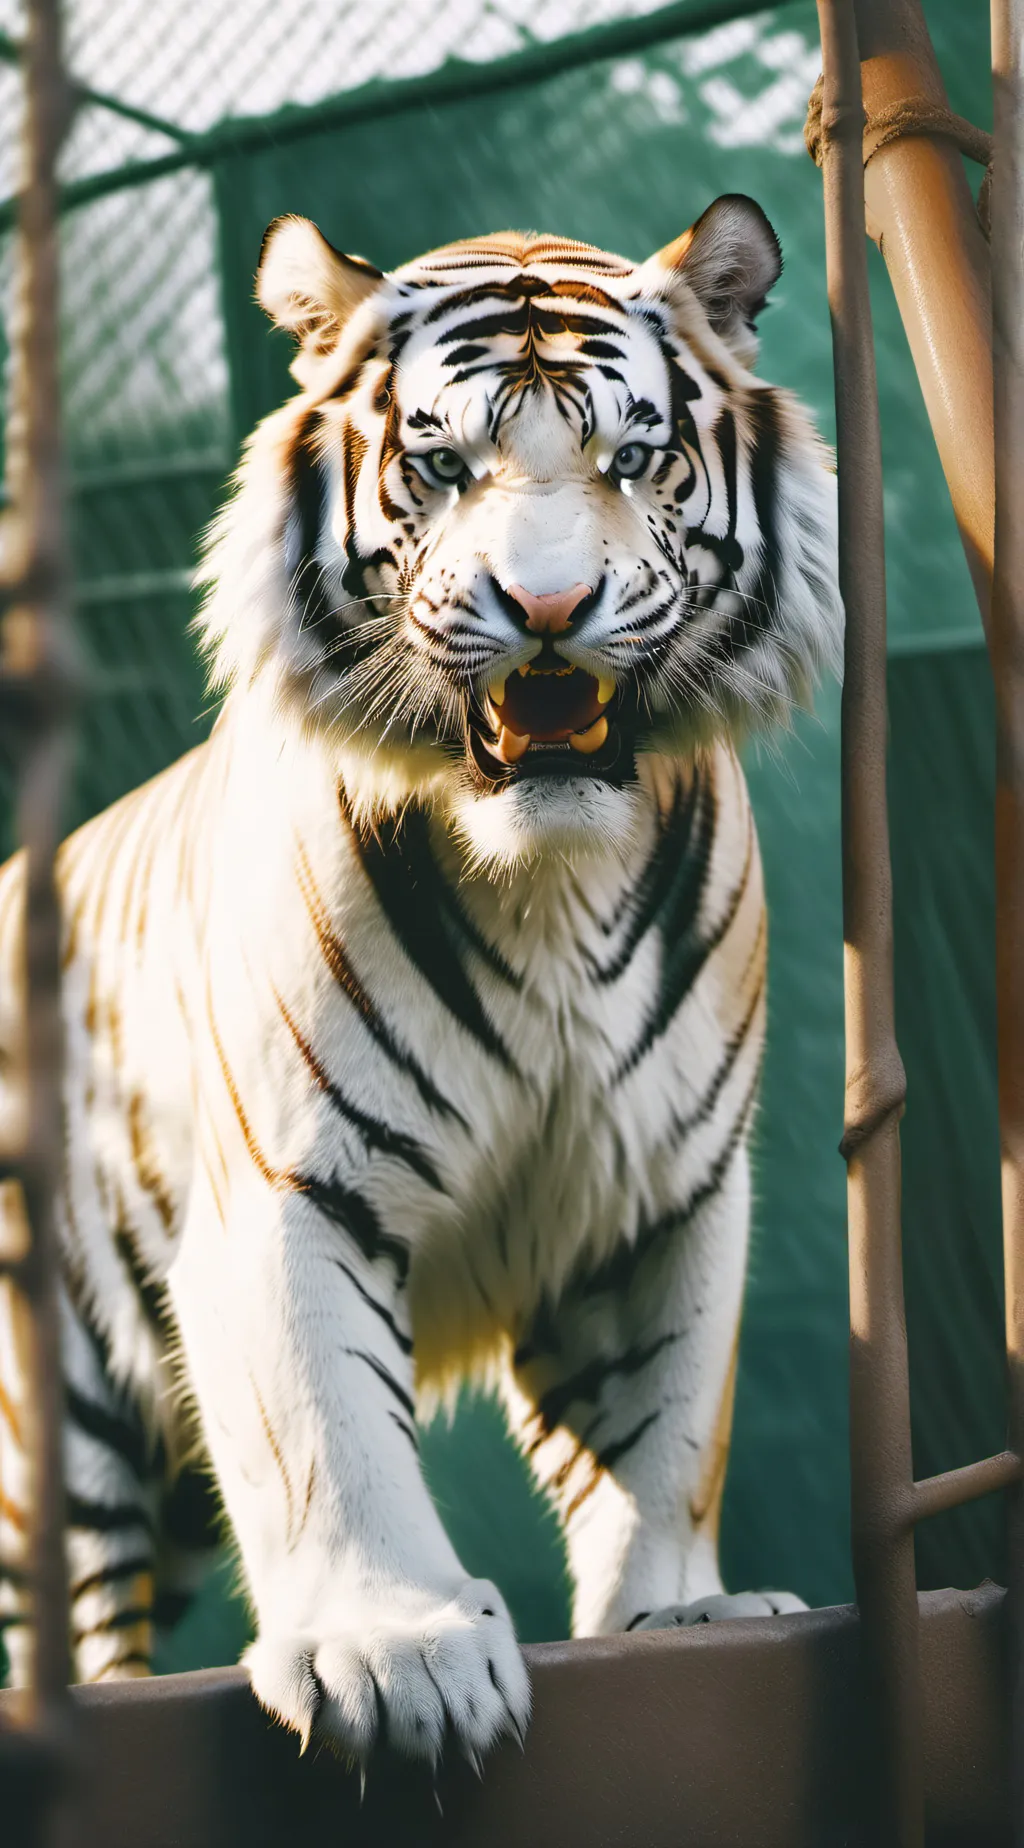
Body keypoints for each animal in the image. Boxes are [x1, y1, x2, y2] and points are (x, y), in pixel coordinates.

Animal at [0, 194, 841, 1767]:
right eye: (442, 466)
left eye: (634, 458)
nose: (549, 606)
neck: (552, 877)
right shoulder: (289, 1187)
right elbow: (325, 1430)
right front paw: (396, 1654)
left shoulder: (662, 1197)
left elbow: (663, 1433)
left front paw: (677, 1613)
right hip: (55, 1423)